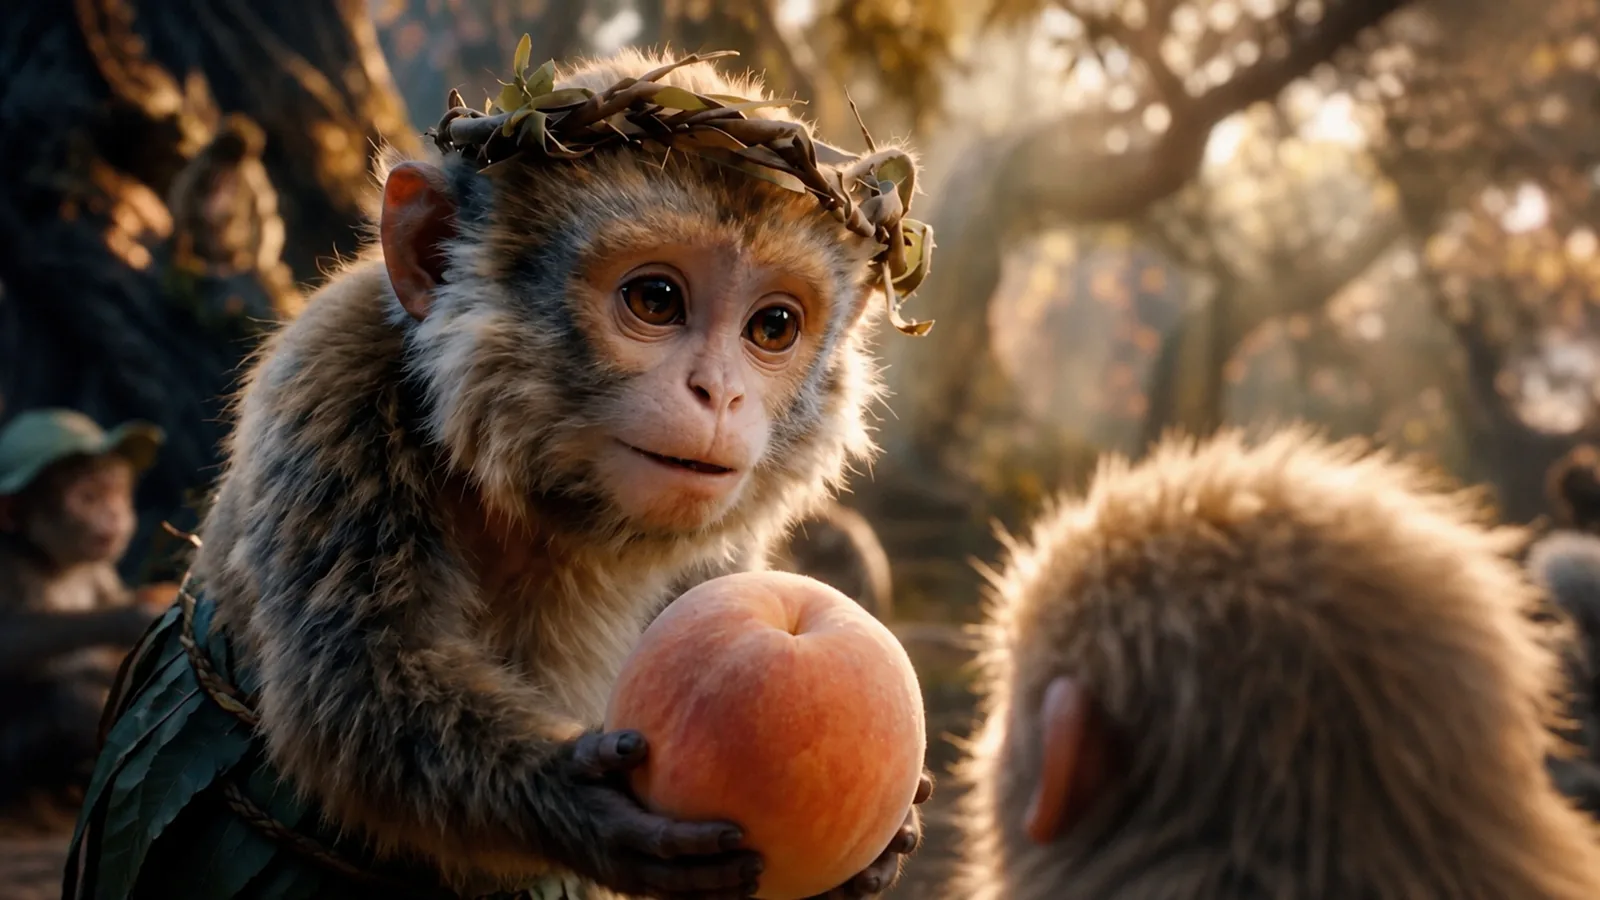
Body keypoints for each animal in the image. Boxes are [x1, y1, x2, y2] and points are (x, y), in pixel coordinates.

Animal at [0, 409, 165, 811]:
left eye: (115, 491)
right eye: (87, 497)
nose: (114, 512)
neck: (50, 560)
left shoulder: (99, 568)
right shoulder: (10, 563)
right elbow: (9, 642)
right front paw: (128, 619)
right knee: (72, 697)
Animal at [66, 47, 936, 900]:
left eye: (774, 326)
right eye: (656, 299)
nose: (718, 393)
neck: (545, 503)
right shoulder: (330, 377)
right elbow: (346, 699)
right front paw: (583, 802)